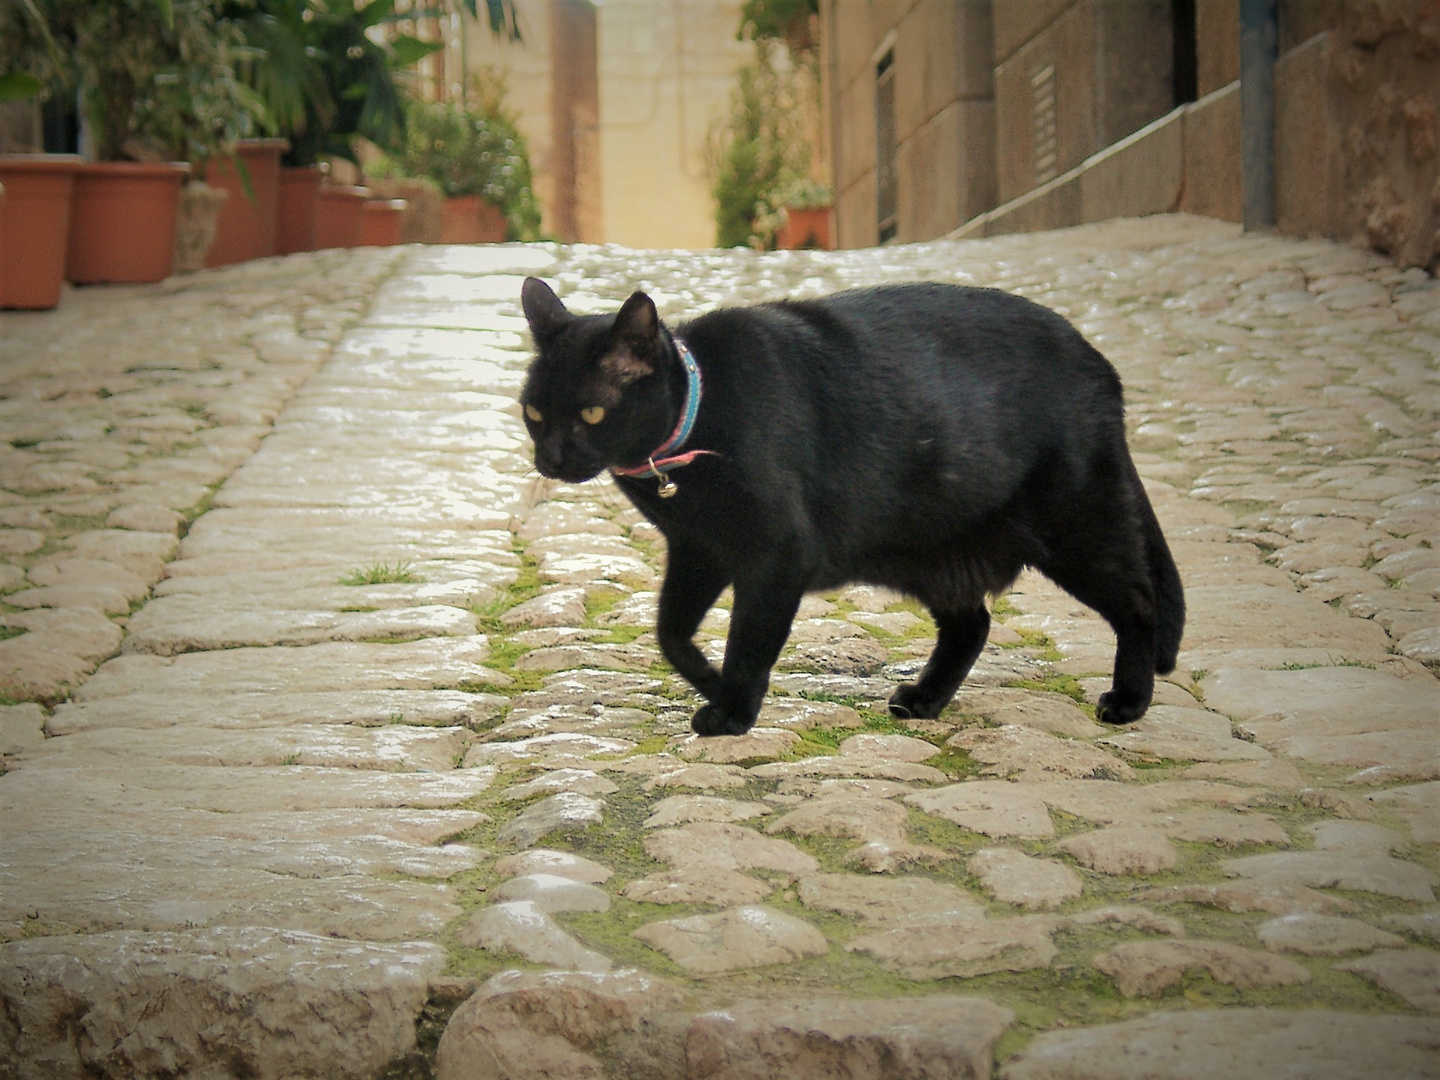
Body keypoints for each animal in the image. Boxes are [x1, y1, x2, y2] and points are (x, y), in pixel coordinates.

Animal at [518, 275, 1180, 743]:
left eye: (592, 413)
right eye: (534, 412)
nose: (549, 457)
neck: (698, 422)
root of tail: (1099, 363)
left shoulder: (775, 554)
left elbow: (748, 640)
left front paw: (732, 708)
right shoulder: (699, 549)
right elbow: (670, 632)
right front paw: (709, 682)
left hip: (1075, 526)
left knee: (1139, 601)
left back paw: (1130, 700)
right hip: (928, 549)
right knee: (973, 623)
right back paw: (924, 701)